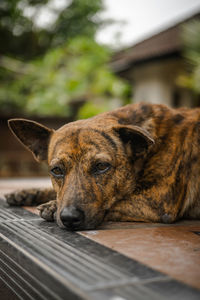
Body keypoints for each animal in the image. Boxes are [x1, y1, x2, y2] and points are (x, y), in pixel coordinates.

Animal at [4, 102, 200, 231]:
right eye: (57, 170)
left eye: (101, 166)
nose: (69, 218)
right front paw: (27, 193)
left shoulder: (157, 201)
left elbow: (117, 201)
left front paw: (52, 206)